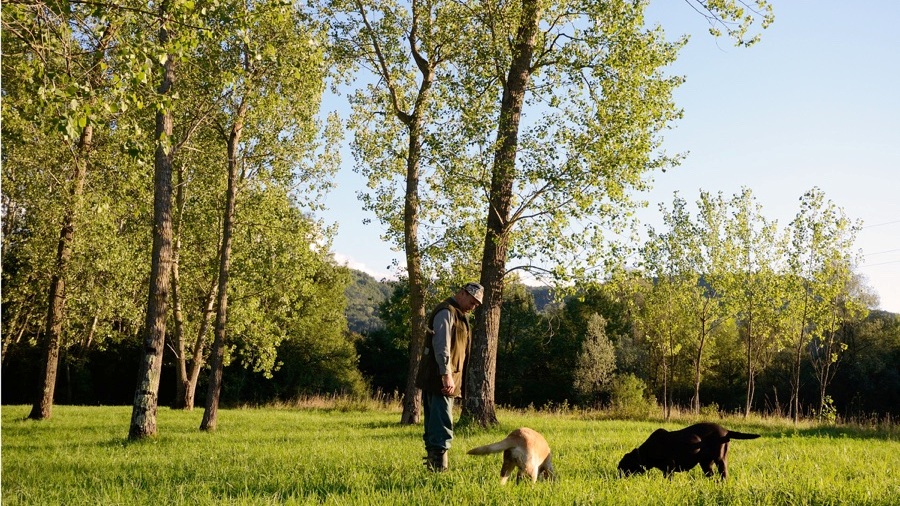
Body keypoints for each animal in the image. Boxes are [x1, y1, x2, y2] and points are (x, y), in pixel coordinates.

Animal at [620, 422, 760, 478]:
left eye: (621, 467)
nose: (618, 478)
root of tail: (726, 431)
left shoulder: (669, 467)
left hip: (720, 460)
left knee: (724, 476)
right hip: (705, 464)